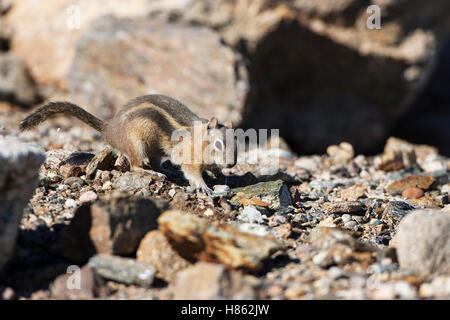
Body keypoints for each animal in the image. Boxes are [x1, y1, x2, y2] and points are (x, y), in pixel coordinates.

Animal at [19, 94, 237, 194]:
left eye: (237, 142)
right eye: (218, 144)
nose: (232, 164)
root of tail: (110, 129)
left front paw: (220, 175)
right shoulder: (187, 155)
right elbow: (192, 171)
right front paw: (203, 186)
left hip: (155, 149)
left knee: (155, 162)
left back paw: (167, 171)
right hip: (136, 143)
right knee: (135, 166)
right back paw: (154, 174)